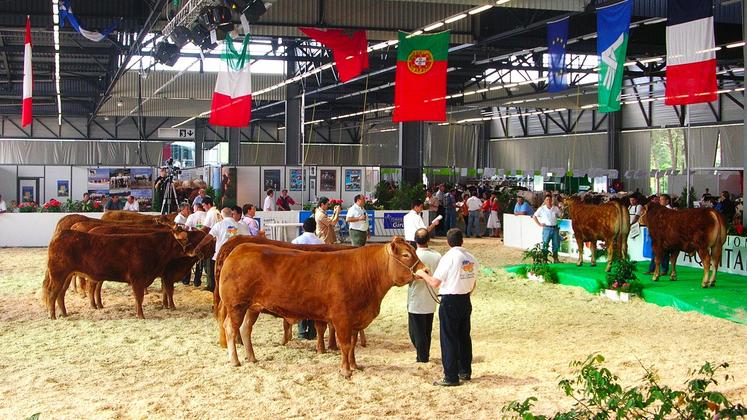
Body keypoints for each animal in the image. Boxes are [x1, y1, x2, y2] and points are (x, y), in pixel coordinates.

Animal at [45, 228, 206, 320]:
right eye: (185, 239)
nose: (195, 251)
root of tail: (61, 234)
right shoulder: (138, 278)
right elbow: (139, 297)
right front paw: (141, 316)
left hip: (66, 275)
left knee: (60, 294)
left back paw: (64, 313)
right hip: (58, 274)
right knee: (52, 293)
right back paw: (52, 316)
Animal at [219, 236, 424, 378]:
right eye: (406, 255)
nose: (425, 270)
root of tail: (238, 249)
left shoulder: (355, 319)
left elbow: (352, 345)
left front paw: (354, 365)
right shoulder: (342, 318)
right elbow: (345, 345)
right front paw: (345, 371)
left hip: (252, 307)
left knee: (245, 329)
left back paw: (251, 357)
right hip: (236, 305)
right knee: (231, 328)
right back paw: (235, 360)